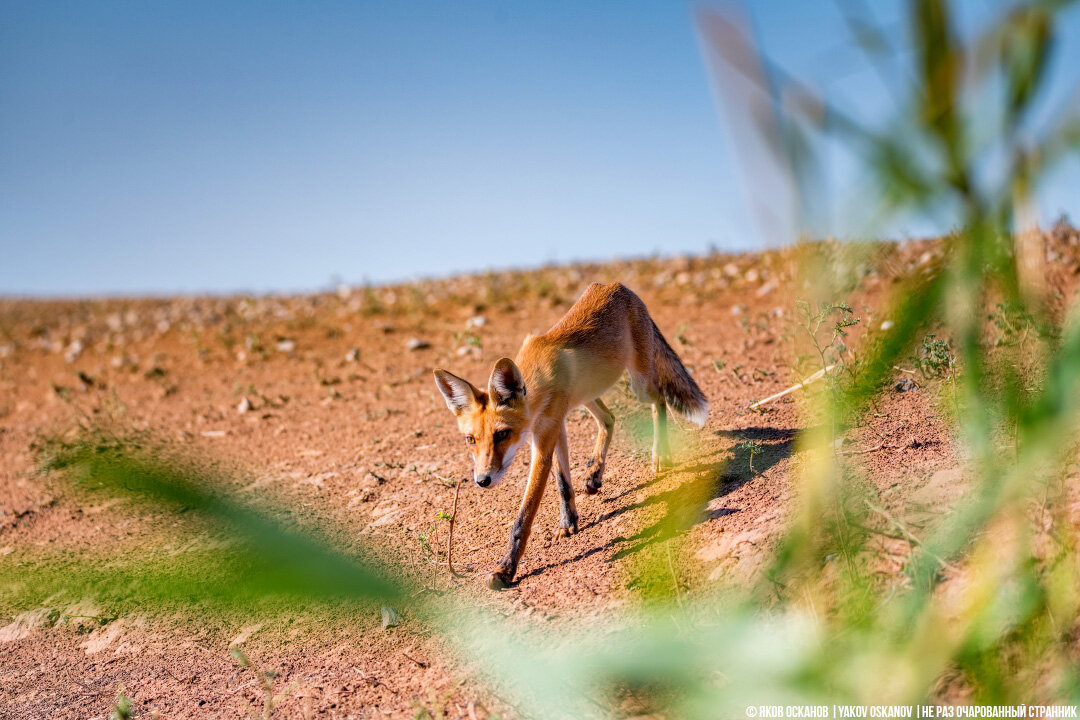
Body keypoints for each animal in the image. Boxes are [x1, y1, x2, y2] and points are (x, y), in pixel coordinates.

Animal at [429, 280, 708, 591]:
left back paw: (659, 454)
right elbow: (563, 484)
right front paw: (568, 523)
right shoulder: (555, 425)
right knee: (609, 419)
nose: (482, 481)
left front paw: (506, 569)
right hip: (587, 394)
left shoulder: (546, 435)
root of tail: (619, 285)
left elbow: (524, 517)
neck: (539, 382)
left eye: (502, 434)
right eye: (471, 440)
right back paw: (595, 473)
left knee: (659, 400)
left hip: (640, 384)